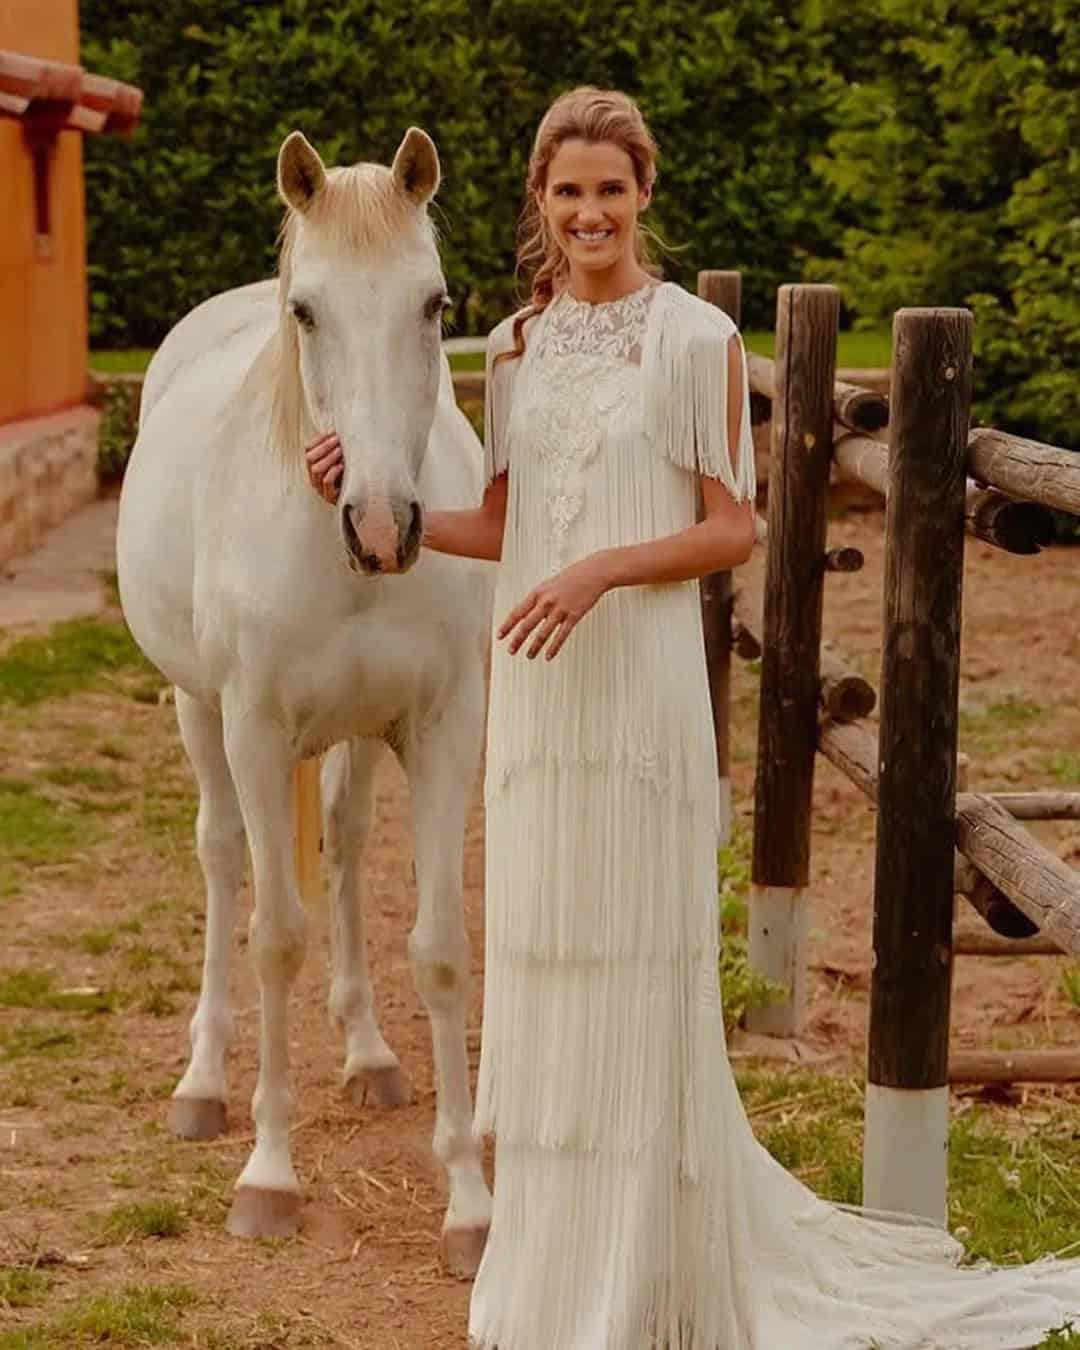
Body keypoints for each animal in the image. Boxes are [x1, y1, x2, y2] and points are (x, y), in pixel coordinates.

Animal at [114, 128, 494, 1274]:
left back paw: (367, 1054)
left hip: (357, 738)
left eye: (434, 303)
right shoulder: (253, 727)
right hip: (199, 715)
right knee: (224, 859)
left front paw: (468, 1204)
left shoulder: (441, 729)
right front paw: (269, 1176)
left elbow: (440, 950)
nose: (383, 524)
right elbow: (274, 936)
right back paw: (203, 1083)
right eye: (307, 311)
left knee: (342, 839)